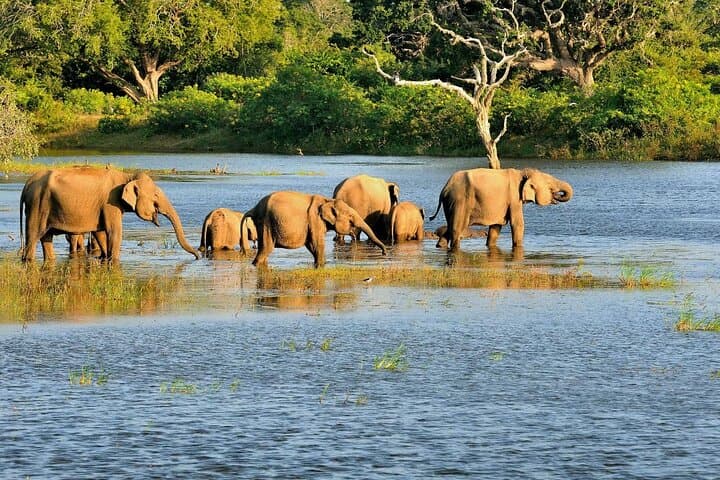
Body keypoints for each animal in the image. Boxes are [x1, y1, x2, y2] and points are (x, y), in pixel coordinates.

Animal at [20, 166, 200, 262]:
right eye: (156, 195)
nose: (198, 256)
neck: (127, 176)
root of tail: (26, 185)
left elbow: (100, 233)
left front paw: (105, 258)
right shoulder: (110, 202)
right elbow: (114, 232)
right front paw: (114, 260)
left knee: (46, 238)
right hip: (38, 205)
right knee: (33, 237)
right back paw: (27, 259)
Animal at [241, 191, 388, 268]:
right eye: (351, 217)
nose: (385, 253)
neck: (327, 200)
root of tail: (254, 208)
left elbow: (312, 245)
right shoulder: (315, 220)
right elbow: (318, 244)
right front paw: (321, 265)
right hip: (267, 223)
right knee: (266, 249)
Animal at [429, 168, 573, 250]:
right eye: (550, 186)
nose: (558, 194)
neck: (523, 172)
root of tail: (444, 189)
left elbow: (496, 227)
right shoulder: (514, 197)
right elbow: (518, 224)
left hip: (451, 203)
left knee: (450, 226)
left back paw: (440, 246)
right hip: (460, 201)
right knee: (457, 228)